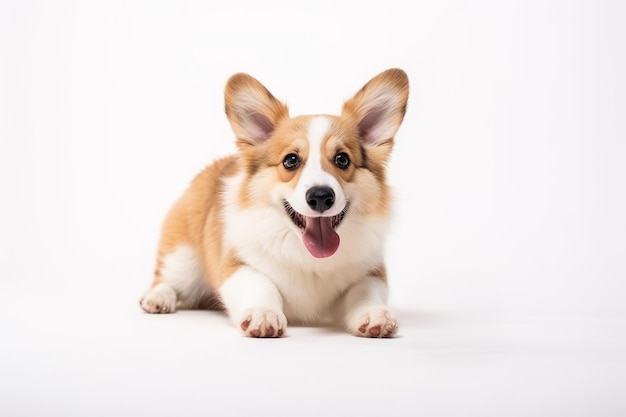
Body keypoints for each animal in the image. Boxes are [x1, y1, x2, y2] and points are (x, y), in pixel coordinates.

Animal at [139, 66, 408, 336]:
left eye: (342, 159)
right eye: (291, 160)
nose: (321, 197)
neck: (307, 255)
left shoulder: (371, 271)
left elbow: (364, 291)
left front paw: (374, 313)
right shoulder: (238, 264)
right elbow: (260, 284)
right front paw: (263, 313)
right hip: (183, 258)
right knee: (166, 278)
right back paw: (158, 298)